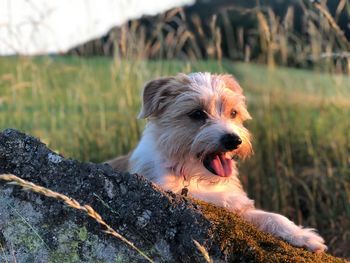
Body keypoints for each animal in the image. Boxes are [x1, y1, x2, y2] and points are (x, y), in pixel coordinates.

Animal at [107, 72, 328, 254]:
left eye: (233, 113)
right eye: (197, 114)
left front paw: (302, 235)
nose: (233, 140)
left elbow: (272, 216)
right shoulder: (162, 186)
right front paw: (231, 199)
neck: (191, 173)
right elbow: (204, 196)